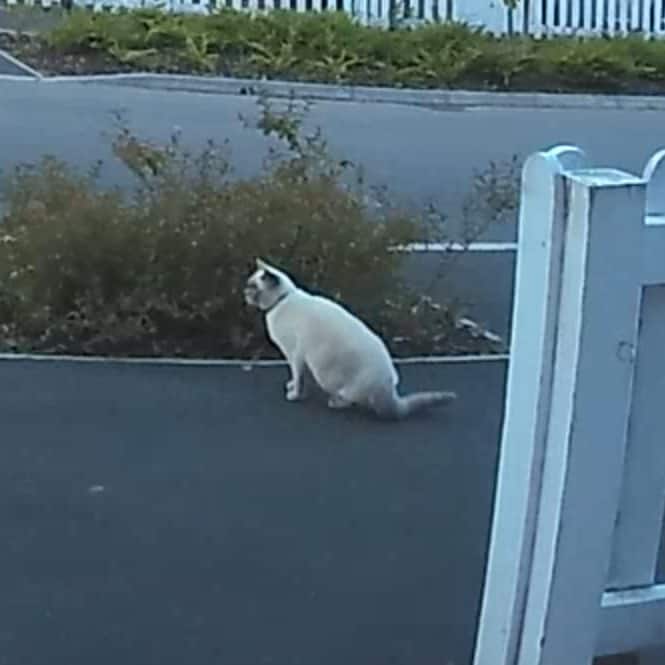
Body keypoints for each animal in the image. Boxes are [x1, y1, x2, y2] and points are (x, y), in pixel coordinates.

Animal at [244, 256, 456, 418]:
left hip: (337, 381)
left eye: (253, 287)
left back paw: (335, 402)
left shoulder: (295, 355)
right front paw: (291, 387)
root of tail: (389, 388)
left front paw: (294, 394)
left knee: (350, 400)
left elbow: (298, 378)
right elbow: (298, 378)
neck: (282, 300)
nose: (244, 292)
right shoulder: (297, 358)